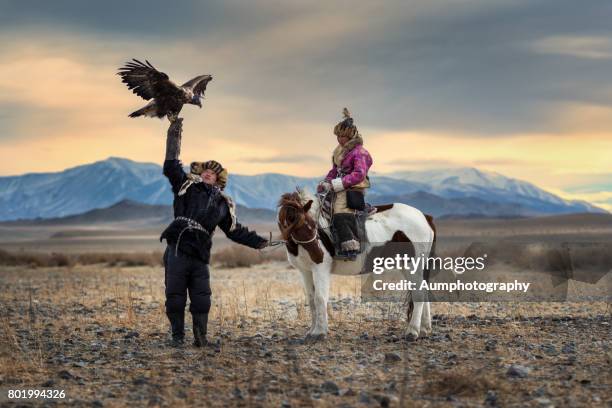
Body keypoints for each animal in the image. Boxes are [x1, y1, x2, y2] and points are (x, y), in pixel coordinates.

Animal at [278, 191, 436, 342]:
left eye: (312, 224)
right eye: (300, 226)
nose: (318, 254)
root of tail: (425, 217)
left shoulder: (320, 269)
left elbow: (320, 298)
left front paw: (319, 333)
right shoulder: (305, 270)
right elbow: (311, 299)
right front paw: (311, 332)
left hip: (413, 265)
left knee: (418, 294)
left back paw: (412, 332)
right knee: (423, 291)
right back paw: (424, 330)